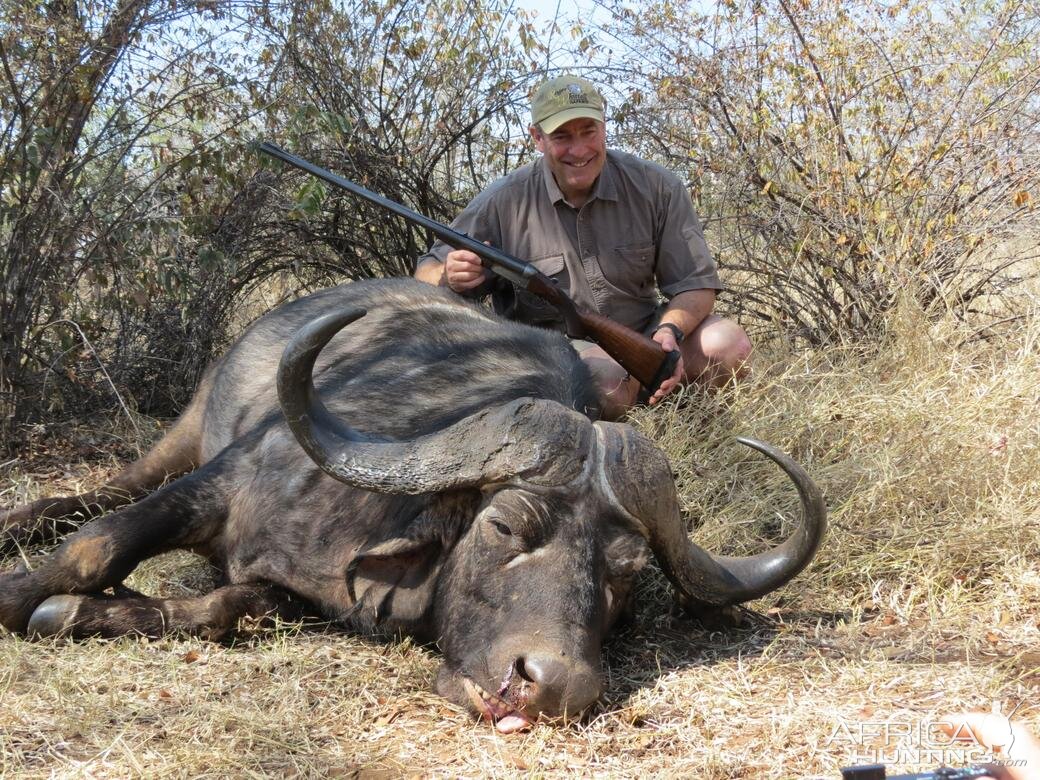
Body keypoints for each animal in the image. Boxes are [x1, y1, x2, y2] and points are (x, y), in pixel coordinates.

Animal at [2, 278, 827, 732]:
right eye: (505, 526)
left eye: (622, 574)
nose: (555, 686)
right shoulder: (219, 481)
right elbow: (98, 544)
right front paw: (22, 594)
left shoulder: (284, 593)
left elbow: (227, 608)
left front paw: (86, 613)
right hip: (185, 429)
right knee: (98, 495)